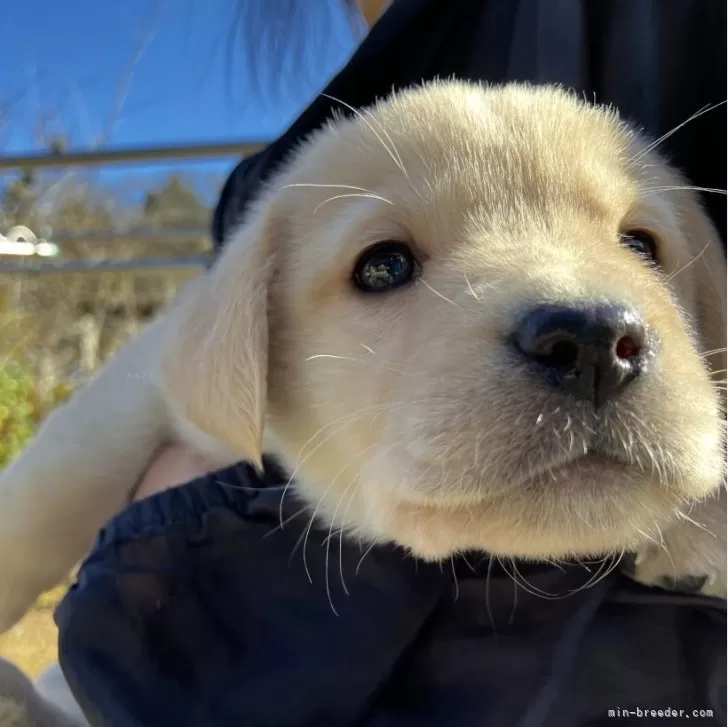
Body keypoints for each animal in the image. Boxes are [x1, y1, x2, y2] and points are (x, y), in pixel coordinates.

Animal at [1, 81, 728, 636]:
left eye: (641, 244)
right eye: (384, 266)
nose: (595, 343)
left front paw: (701, 528)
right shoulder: (142, 381)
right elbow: (57, 484)